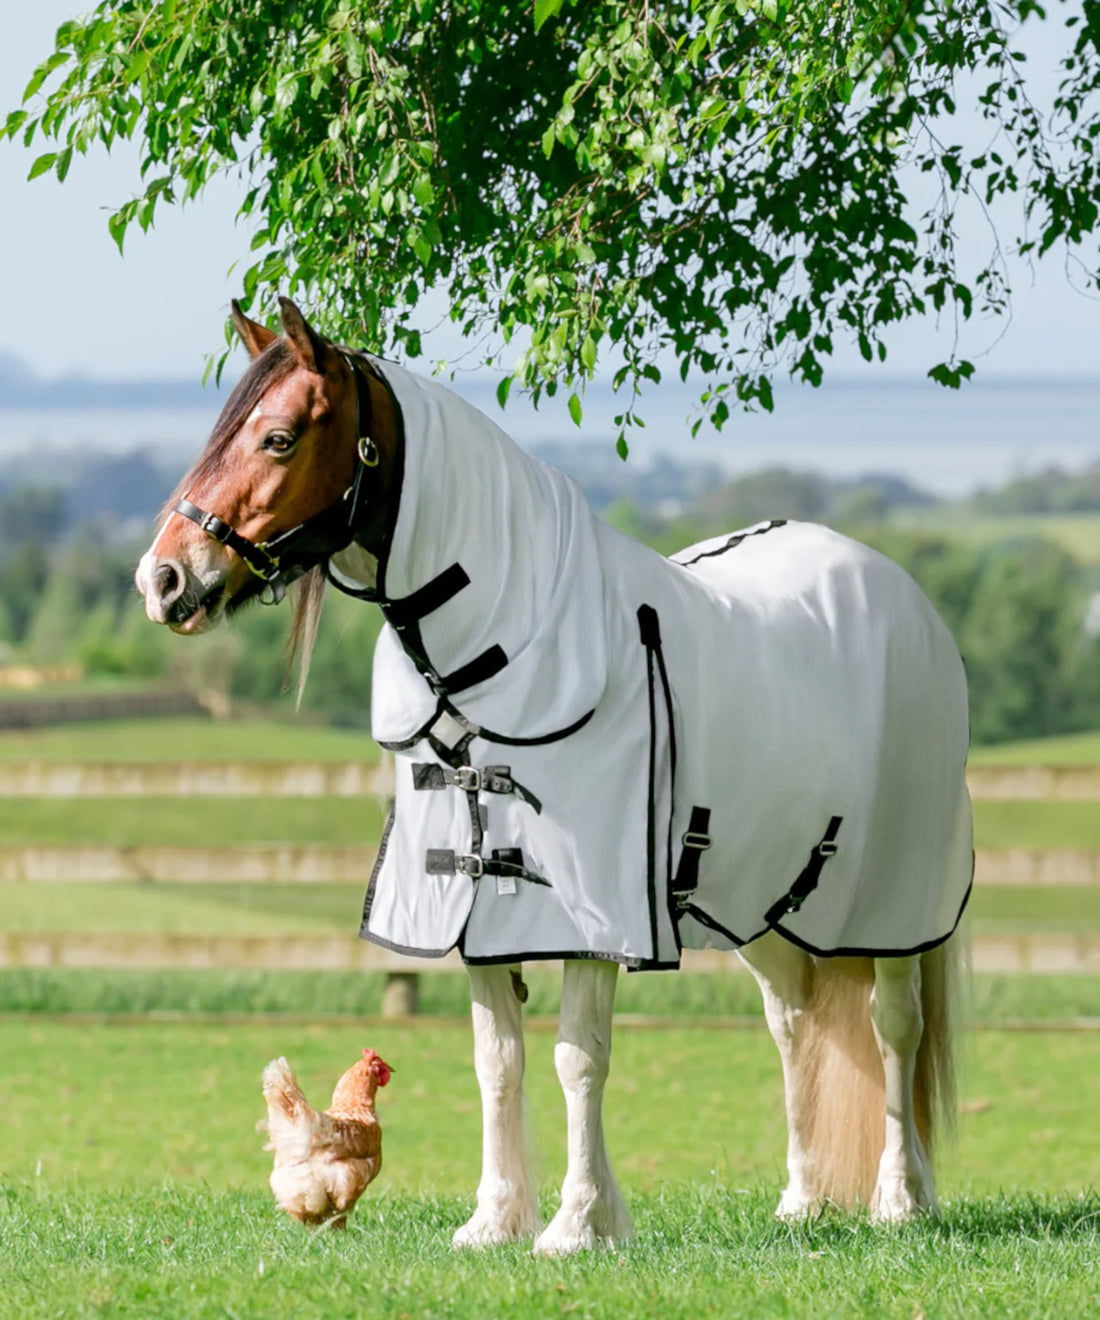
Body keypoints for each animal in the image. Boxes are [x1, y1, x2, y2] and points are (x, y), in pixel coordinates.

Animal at [136, 298, 972, 1255]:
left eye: (277, 438)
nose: (163, 579)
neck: (502, 654)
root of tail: (902, 596)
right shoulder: (473, 913)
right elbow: (497, 1062)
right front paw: (496, 1220)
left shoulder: (594, 912)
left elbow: (580, 1059)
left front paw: (575, 1225)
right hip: (759, 899)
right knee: (794, 1023)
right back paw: (802, 1200)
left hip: (893, 907)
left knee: (894, 1027)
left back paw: (901, 1198)